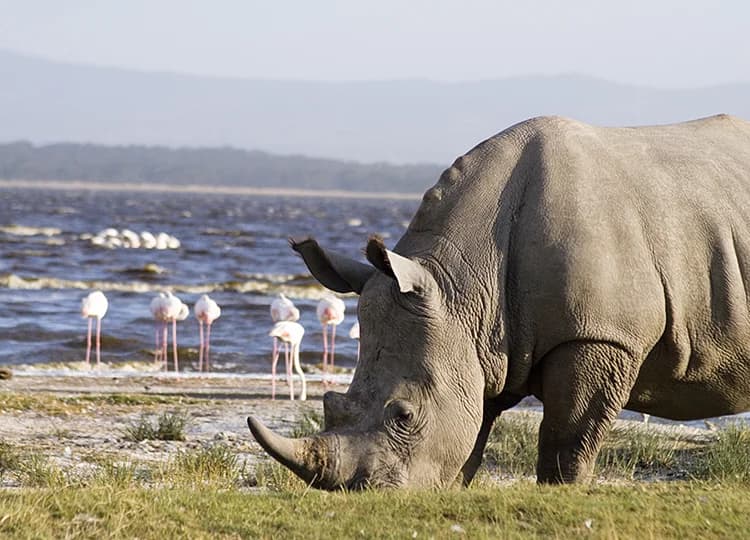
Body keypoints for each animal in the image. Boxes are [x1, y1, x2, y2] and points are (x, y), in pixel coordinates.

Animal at [248, 114, 750, 489]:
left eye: (404, 415)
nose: (362, 494)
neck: (462, 286)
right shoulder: (477, 341)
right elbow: (471, 433)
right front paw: (448, 492)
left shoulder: (602, 335)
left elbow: (567, 437)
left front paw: (560, 494)